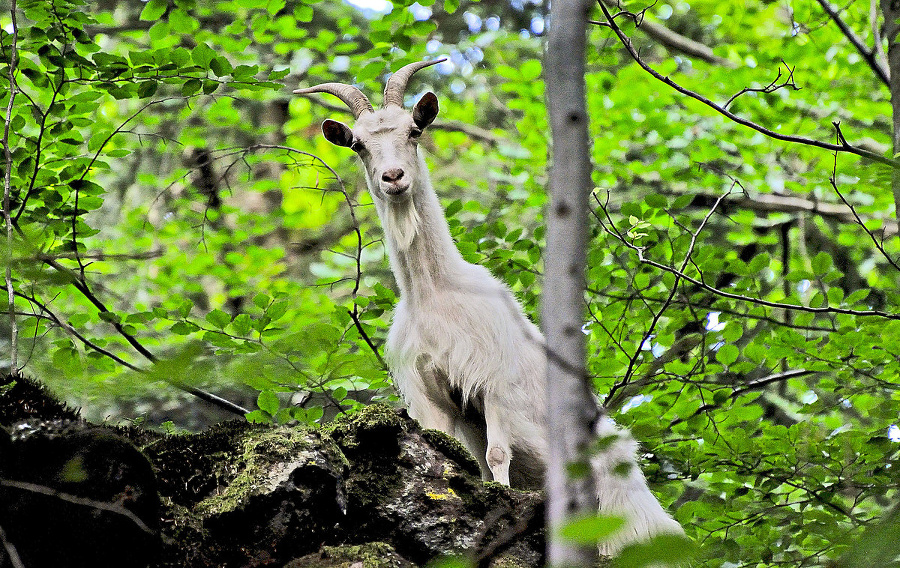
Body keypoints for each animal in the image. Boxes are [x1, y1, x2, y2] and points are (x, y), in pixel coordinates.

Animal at [296, 60, 684, 552]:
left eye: (414, 131)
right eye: (359, 146)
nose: (394, 178)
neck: (436, 292)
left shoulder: (494, 380)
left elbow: (497, 454)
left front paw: (501, 497)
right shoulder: (430, 393)